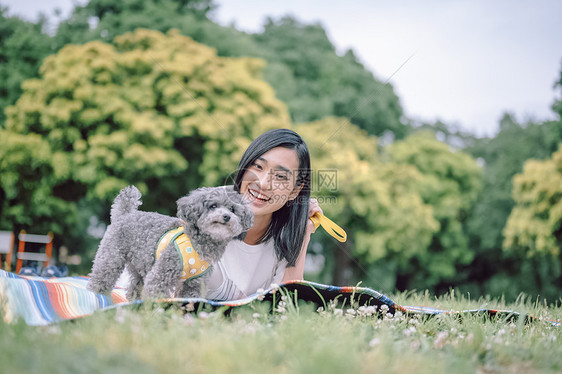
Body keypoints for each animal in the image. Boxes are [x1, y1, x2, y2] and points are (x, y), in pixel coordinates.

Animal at [87, 185, 252, 300]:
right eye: (213, 206)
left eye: (232, 209)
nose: (226, 216)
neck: (198, 244)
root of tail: (124, 213)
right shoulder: (161, 274)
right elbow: (155, 295)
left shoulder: (194, 284)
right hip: (111, 257)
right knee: (100, 280)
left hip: (139, 265)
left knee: (134, 288)